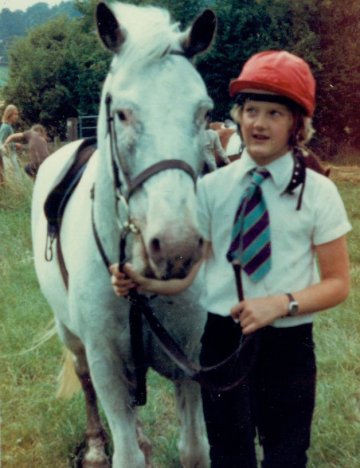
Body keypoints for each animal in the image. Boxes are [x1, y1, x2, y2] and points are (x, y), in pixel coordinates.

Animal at [31, 2, 215, 468]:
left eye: (204, 112)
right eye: (121, 114)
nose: (177, 248)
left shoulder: (188, 358)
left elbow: (193, 448)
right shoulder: (106, 363)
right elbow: (126, 452)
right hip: (71, 336)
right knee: (86, 383)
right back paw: (97, 445)